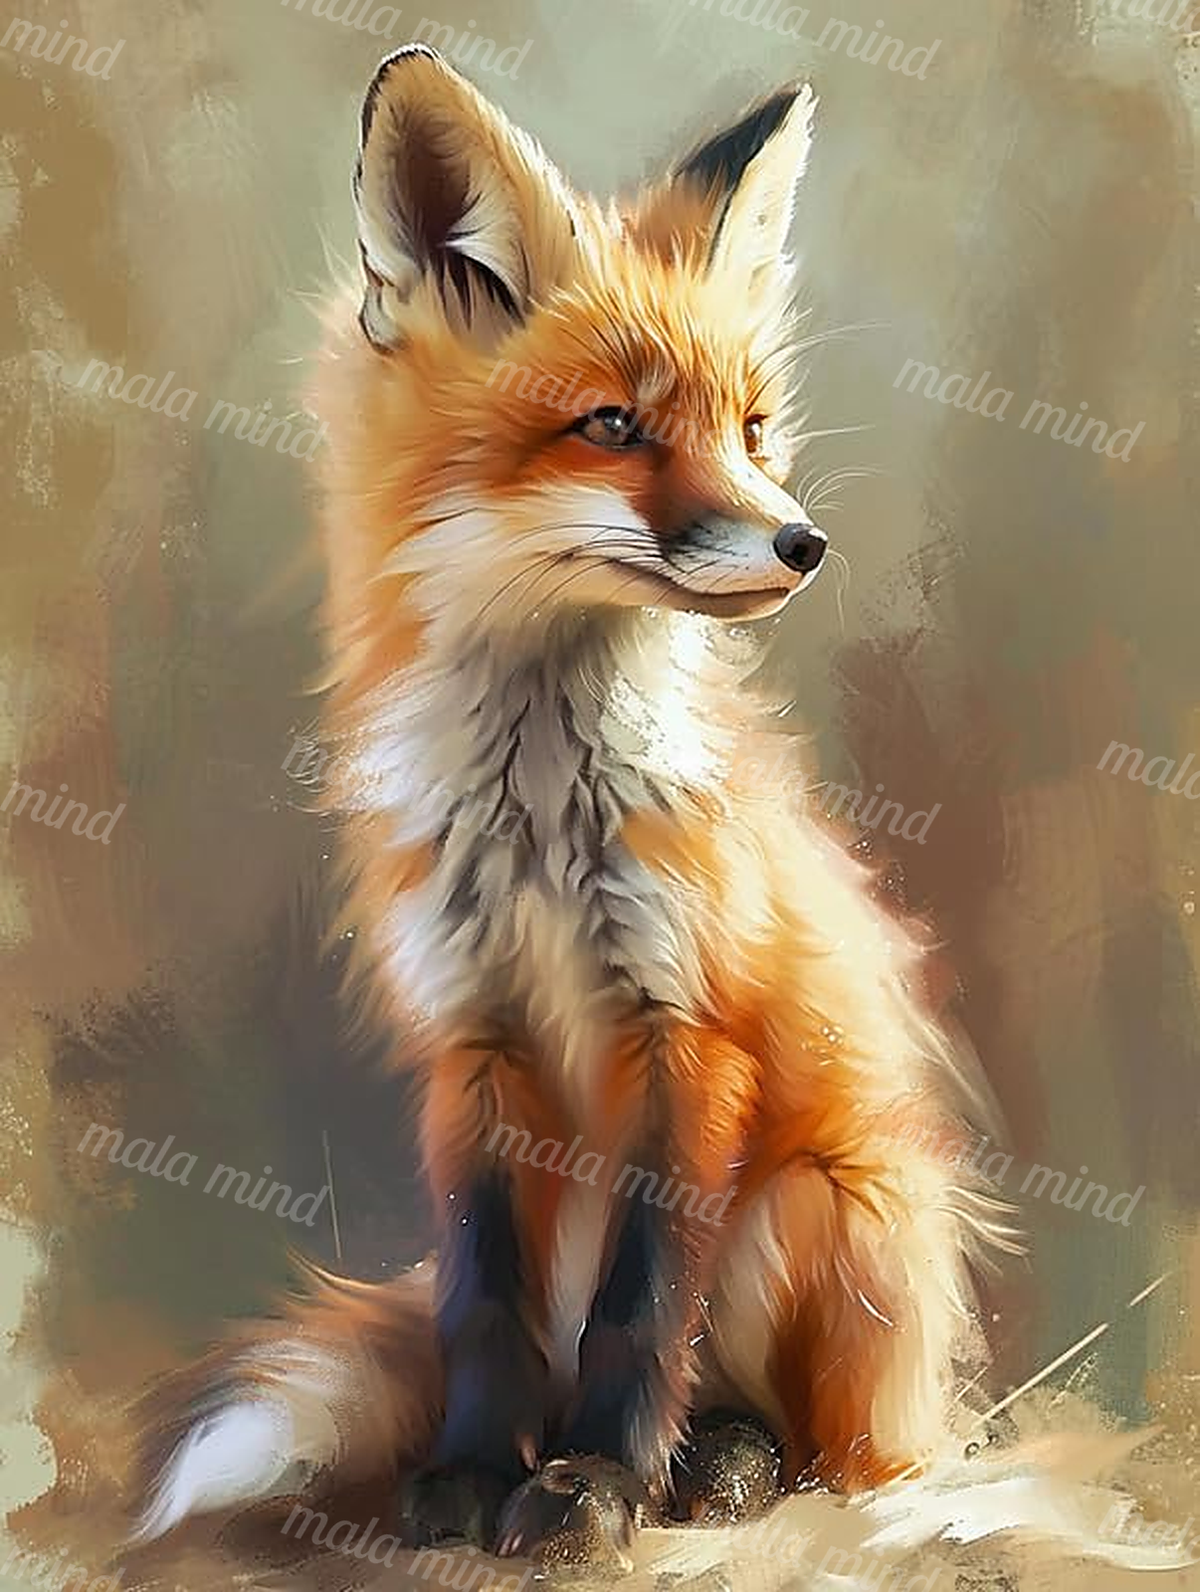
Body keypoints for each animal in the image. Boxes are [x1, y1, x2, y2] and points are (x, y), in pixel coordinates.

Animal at [132, 47, 1009, 1570]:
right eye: (613, 426)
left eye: (752, 429)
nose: (803, 540)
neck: (543, 831)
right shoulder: (472, 1048)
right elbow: (482, 1308)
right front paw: (476, 1475)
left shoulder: (689, 1034)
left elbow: (644, 1310)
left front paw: (596, 1483)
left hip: (810, 1203)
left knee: (814, 1442)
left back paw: (720, 1467)